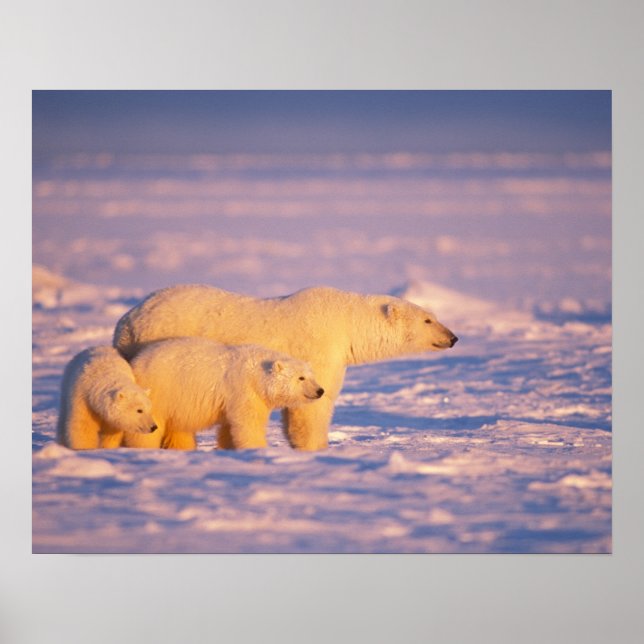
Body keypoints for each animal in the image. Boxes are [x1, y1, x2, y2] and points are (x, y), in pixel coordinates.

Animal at [120, 337, 325, 451]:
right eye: (300, 378)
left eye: (311, 376)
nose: (320, 390)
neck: (256, 375)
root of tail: (136, 362)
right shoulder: (243, 390)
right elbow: (248, 423)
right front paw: (258, 448)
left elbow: (229, 427)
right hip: (161, 391)